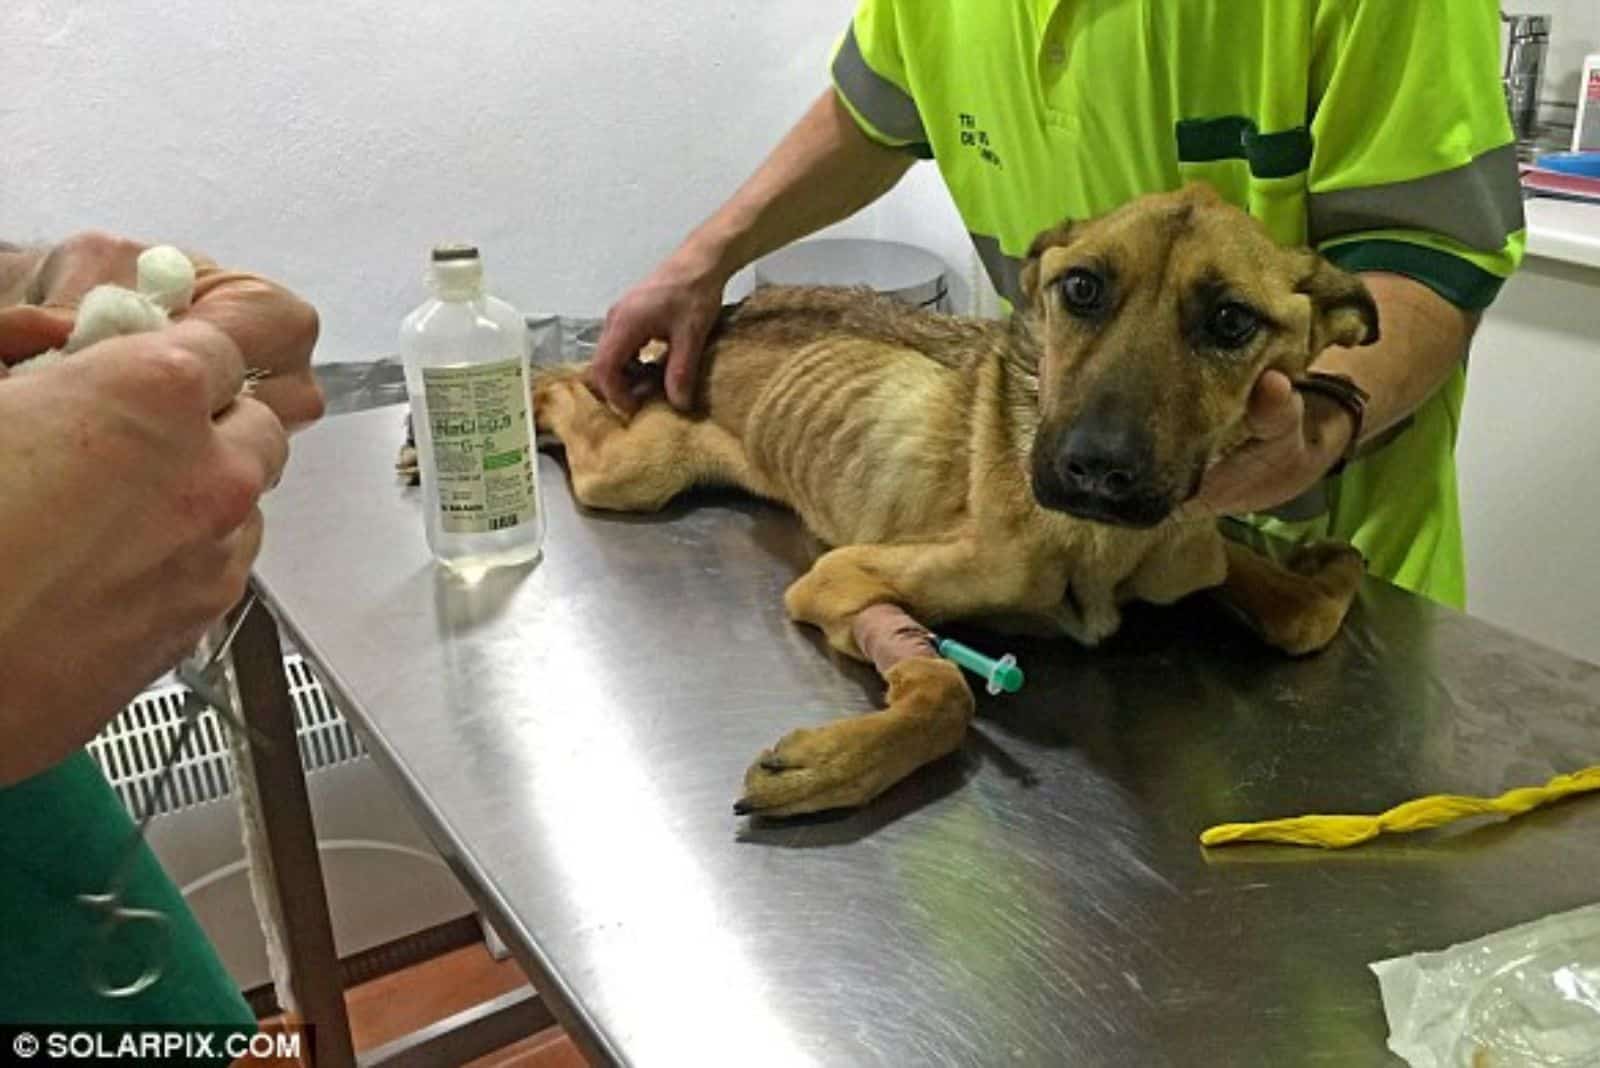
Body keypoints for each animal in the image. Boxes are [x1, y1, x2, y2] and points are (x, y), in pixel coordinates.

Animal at [534, 183, 1376, 818]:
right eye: (1082, 287)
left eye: (1231, 320)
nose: (1093, 468)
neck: (1109, 549)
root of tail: (730, 312)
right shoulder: (836, 577)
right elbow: (945, 691)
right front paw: (838, 764)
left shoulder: (1191, 548)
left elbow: (1302, 613)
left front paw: (1324, 568)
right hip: (637, 472)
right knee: (576, 404)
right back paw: (541, 391)